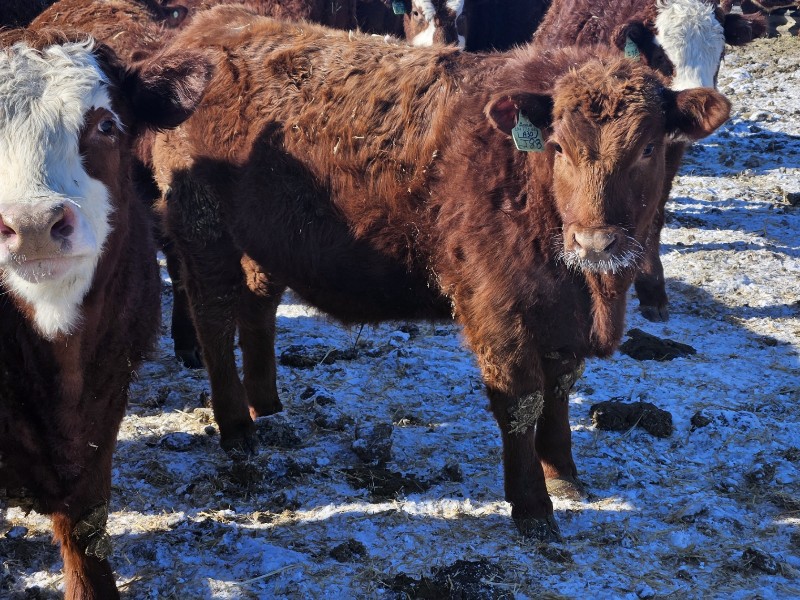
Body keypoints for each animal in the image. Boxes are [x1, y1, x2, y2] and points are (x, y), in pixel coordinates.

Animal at [151, 7, 730, 539]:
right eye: (559, 146)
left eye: (649, 148)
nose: (595, 242)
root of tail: (208, 26)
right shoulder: (497, 307)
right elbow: (522, 401)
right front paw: (532, 507)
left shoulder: (560, 315)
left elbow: (560, 391)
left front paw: (562, 470)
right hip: (203, 230)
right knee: (213, 318)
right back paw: (236, 426)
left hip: (263, 242)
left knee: (258, 307)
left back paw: (267, 405)